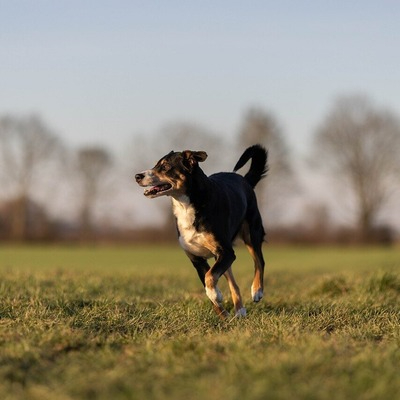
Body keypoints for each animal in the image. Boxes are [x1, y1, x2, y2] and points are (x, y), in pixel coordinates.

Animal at [135, 145, 268, 318]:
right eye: (156, 165)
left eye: (165, 167)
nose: (137, 176)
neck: (186, 206)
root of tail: (245, 180)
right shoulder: (197, 259)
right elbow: (207, 282)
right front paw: (223, 314)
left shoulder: (226, 252)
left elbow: (210, 277)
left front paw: (216, 294)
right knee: (233, 283)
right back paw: (240, 311)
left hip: (251, 233)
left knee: (259, 261)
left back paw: (257, 291)